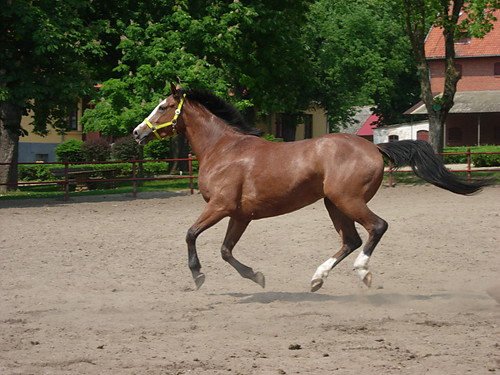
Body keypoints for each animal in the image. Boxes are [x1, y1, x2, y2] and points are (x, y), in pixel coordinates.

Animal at [135, 85, 486, 294]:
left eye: (163, 106)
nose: (138, 132)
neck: (223, 150)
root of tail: (375, 148)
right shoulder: (240, 214)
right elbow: (226, 250)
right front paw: (257, 276)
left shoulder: (219, 206)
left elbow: (190, 234)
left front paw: (198, 276)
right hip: (333, 203)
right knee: (351, 239)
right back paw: (318, 278)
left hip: (347, 200)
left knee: (376, 227)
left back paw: (362, 272)